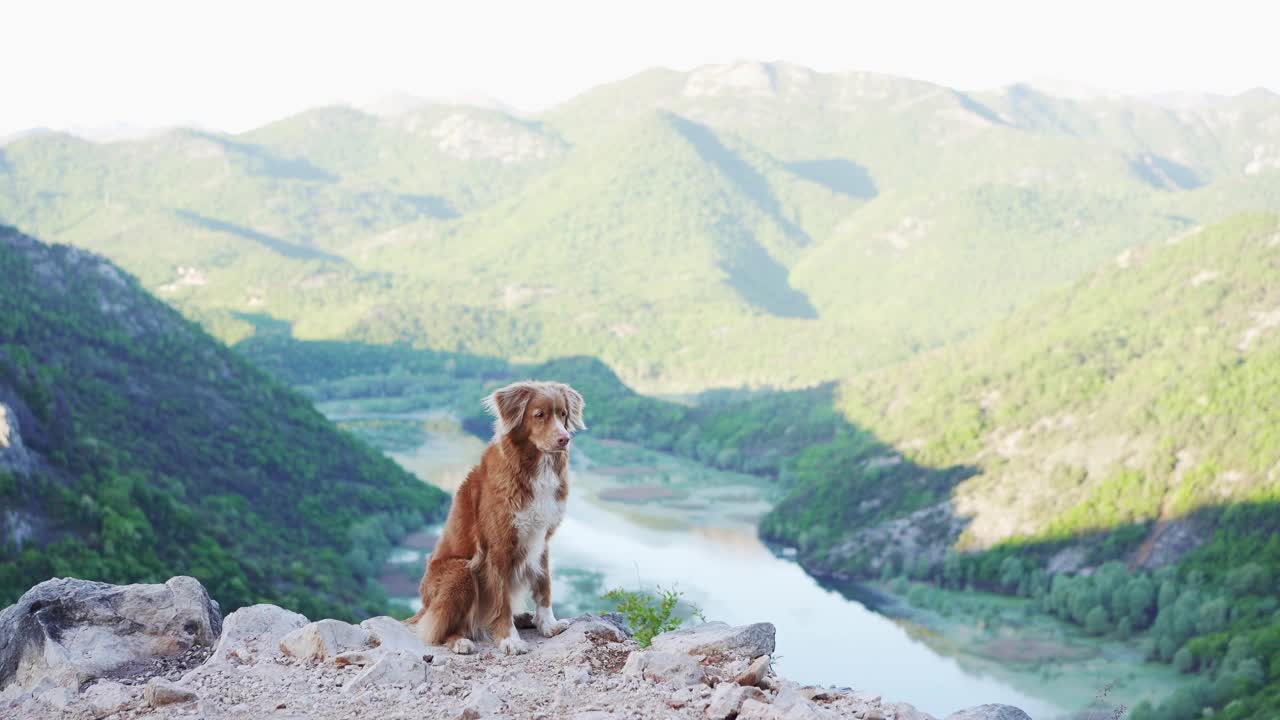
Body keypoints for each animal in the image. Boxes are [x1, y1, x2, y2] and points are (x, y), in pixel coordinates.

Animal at [407, 379, 586, 653]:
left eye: (563, 414)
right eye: (539, 415)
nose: (564, 439)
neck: (534, 467)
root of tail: (423, 606)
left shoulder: (541, 540)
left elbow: (544, 585)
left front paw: (548, 623)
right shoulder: (498, 547)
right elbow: (501, 601)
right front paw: (509, 639)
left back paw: (524, 618)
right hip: (461, 571)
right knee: (436, 630)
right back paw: (460, 641)